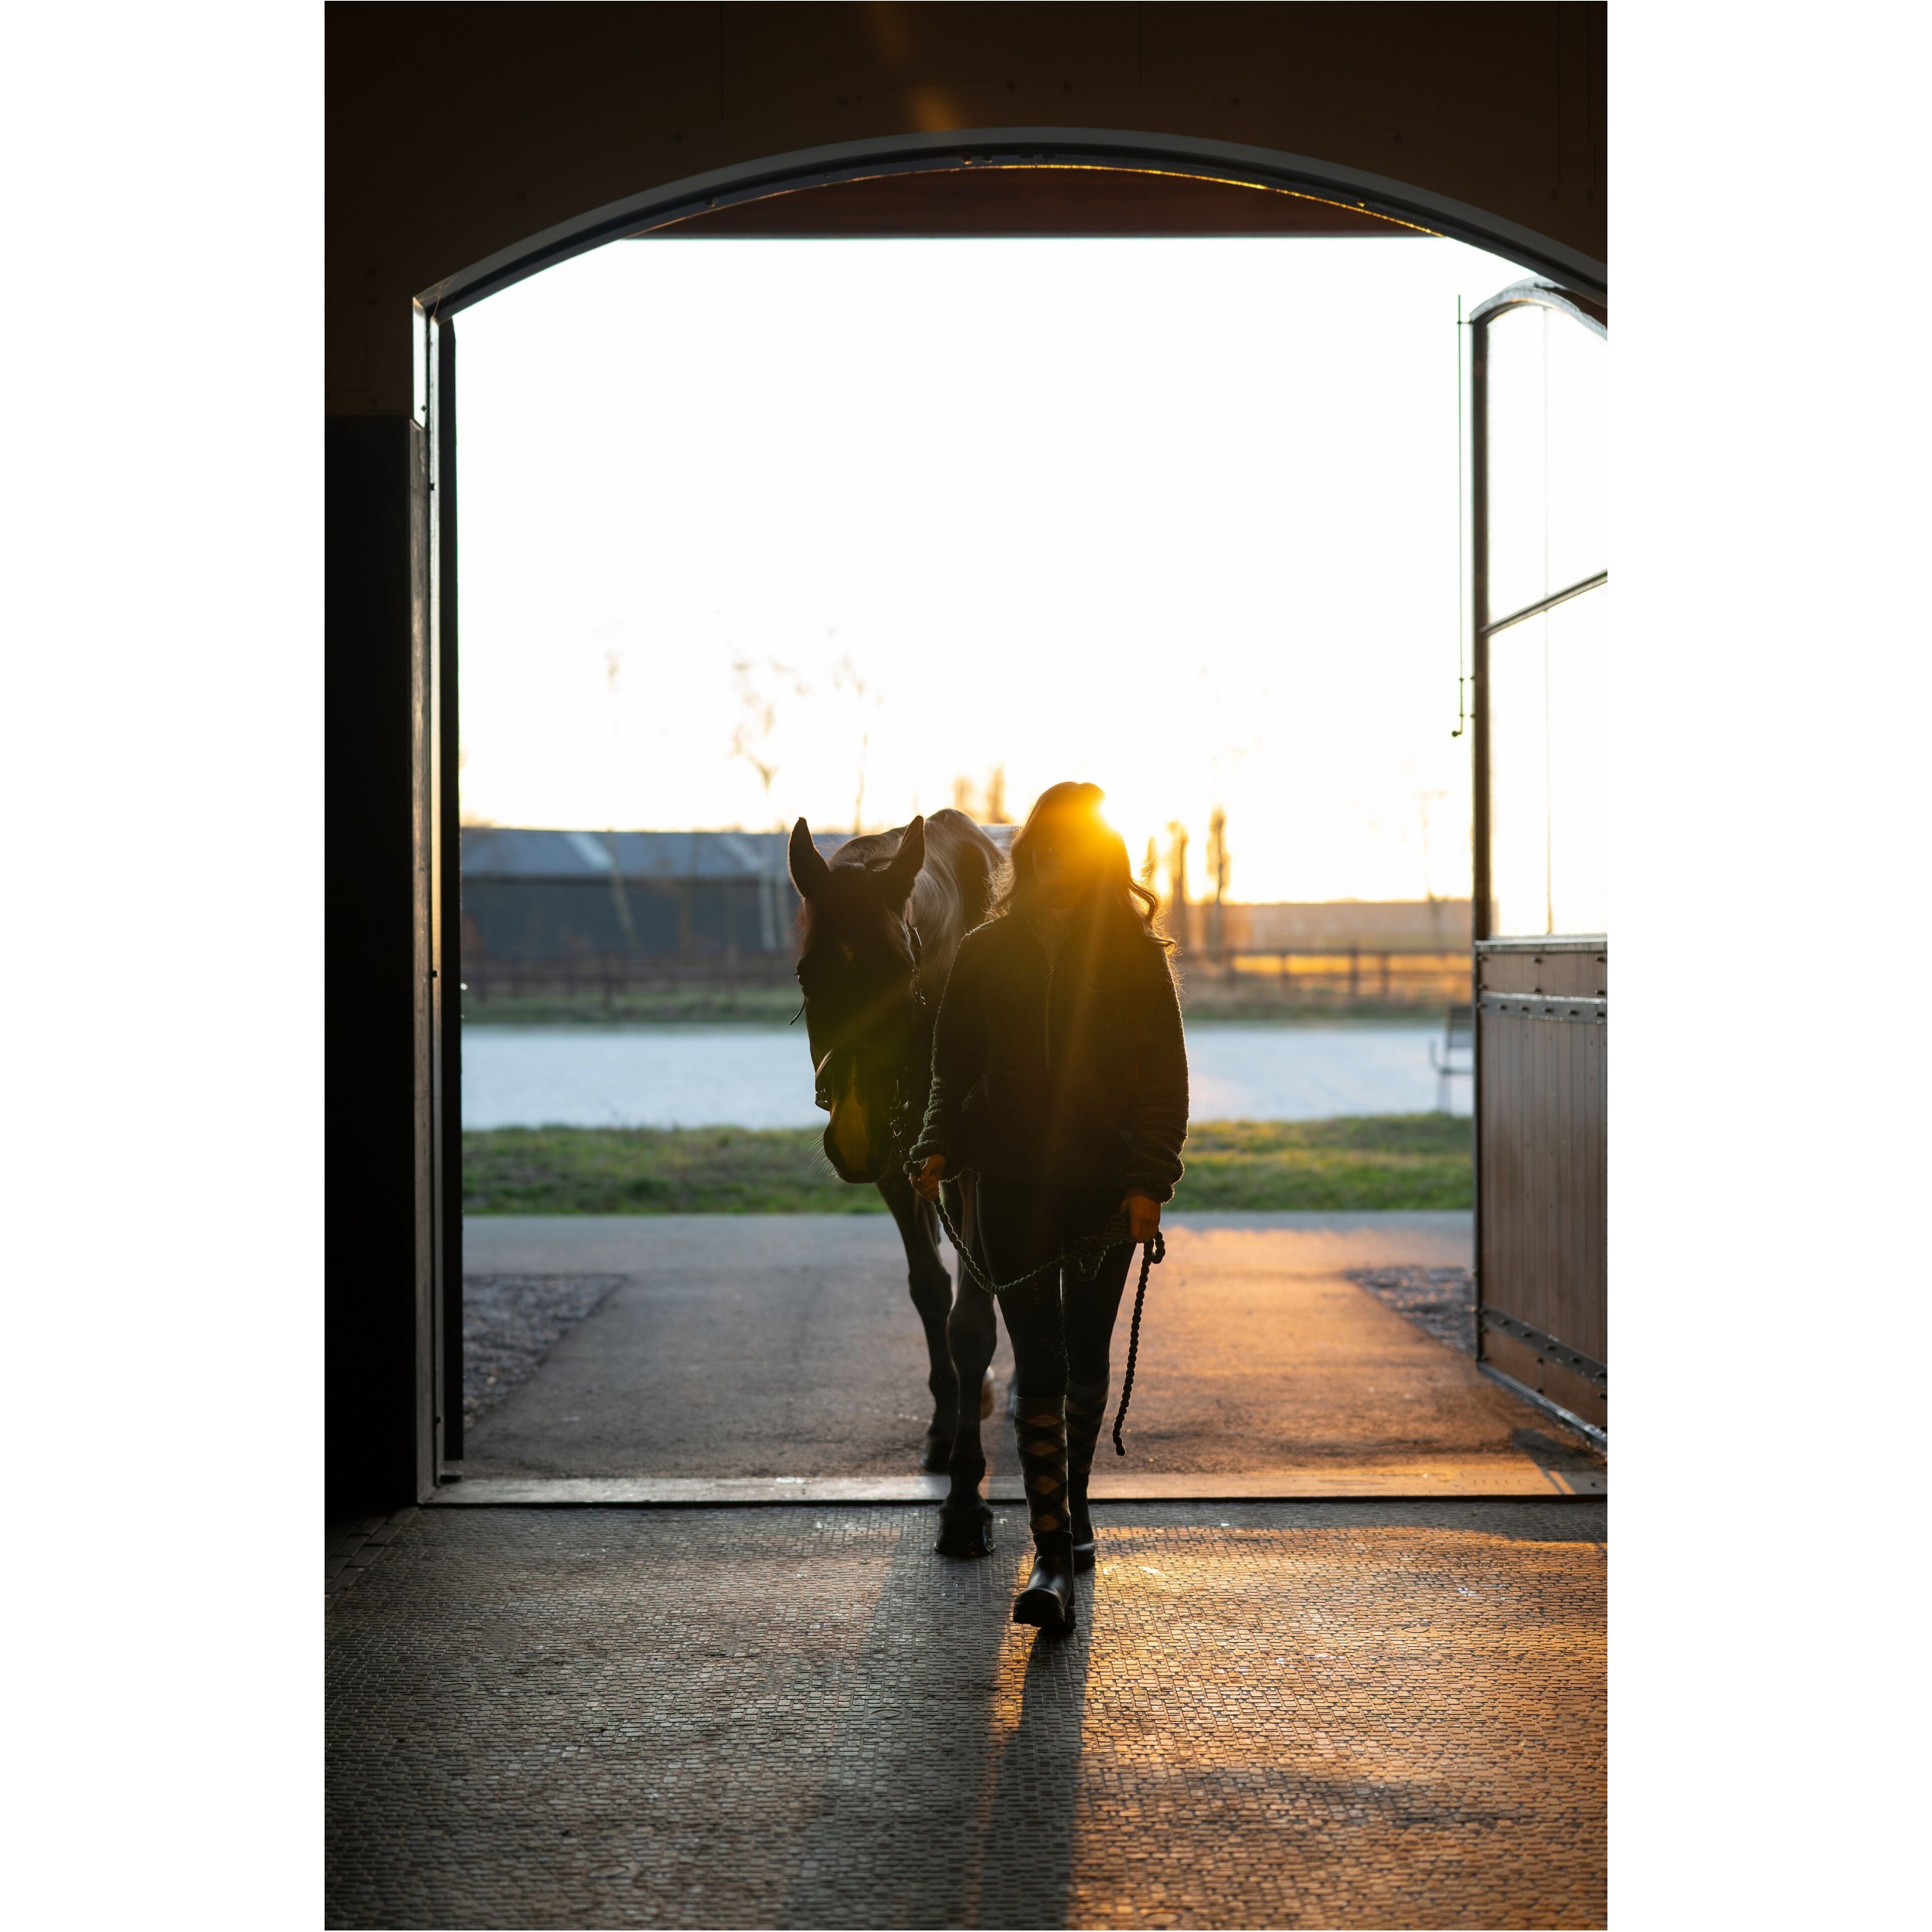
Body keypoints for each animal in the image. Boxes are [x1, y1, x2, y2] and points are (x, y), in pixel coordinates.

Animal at [784, 808, 1005, 1468]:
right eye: (806, 975)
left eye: (902, 972)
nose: (855, 1129)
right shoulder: (893, 1164)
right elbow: (931, 1289)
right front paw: (946, 1418)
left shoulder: (976, 1165)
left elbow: (973, 1315)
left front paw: (967, 1452)